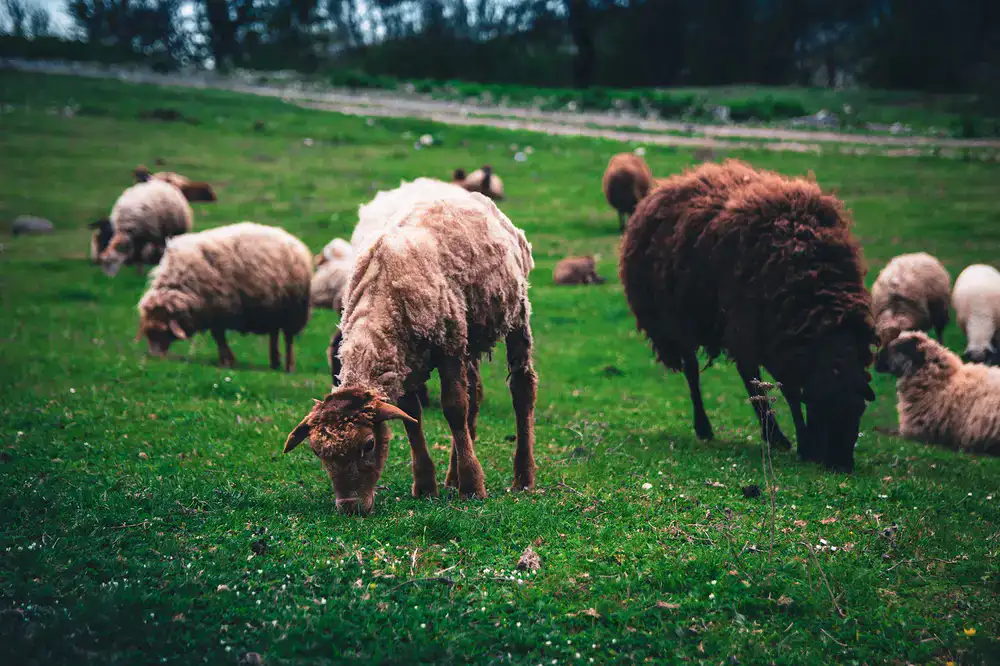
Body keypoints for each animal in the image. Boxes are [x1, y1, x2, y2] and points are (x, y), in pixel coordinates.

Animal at [136, 222, 312, 372]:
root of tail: (292, 239)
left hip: (293, 311)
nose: (155, 357)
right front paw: (226, 360)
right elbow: (218, 337)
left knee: (288, 339)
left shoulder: (219, 309)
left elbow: (219, 337)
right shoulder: (212, 313)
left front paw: (227, 360)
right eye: (149, 333)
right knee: (274, 334)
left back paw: (289, 366)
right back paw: (275, 362)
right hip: (273, 311)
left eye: (162, 331)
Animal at [282, 186, 537, 515]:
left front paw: (472, 487)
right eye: (316, 452)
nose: (350, 507)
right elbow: (411, 417)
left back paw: (522, 478)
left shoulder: (448, 345)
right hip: (468, 333)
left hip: (515, 311)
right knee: (475, 395)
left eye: (368, 445)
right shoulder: (401, 361)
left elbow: (454, 409)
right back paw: (452, 478)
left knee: (521, 388)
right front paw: (426, 486)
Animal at [620, 160, 876, 472]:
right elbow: (786, 392)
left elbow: (786, 390)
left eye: (859, 410)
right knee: (695, 373)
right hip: (683, 322)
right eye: (822, 406)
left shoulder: (782, 339)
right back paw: (710, 428)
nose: (841, 466)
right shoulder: (756, 330)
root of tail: (671, 183)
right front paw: (799, 442)